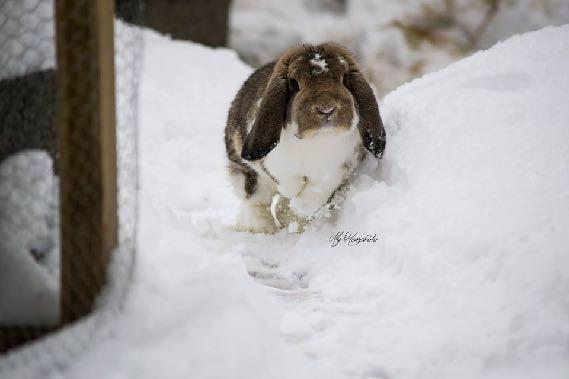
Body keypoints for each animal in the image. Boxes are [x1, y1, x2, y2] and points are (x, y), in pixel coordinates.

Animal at [224, 42, 384, 235]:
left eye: (344, 80)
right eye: (294, 83)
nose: (326, 108)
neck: (317, 140)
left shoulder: (339, 169)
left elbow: (316, 191)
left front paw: (299, 209)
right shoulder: (275, 166)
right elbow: (289, 183)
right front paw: (292, 199)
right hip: (248, 175)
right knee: (255, 202)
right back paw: (263, 229)